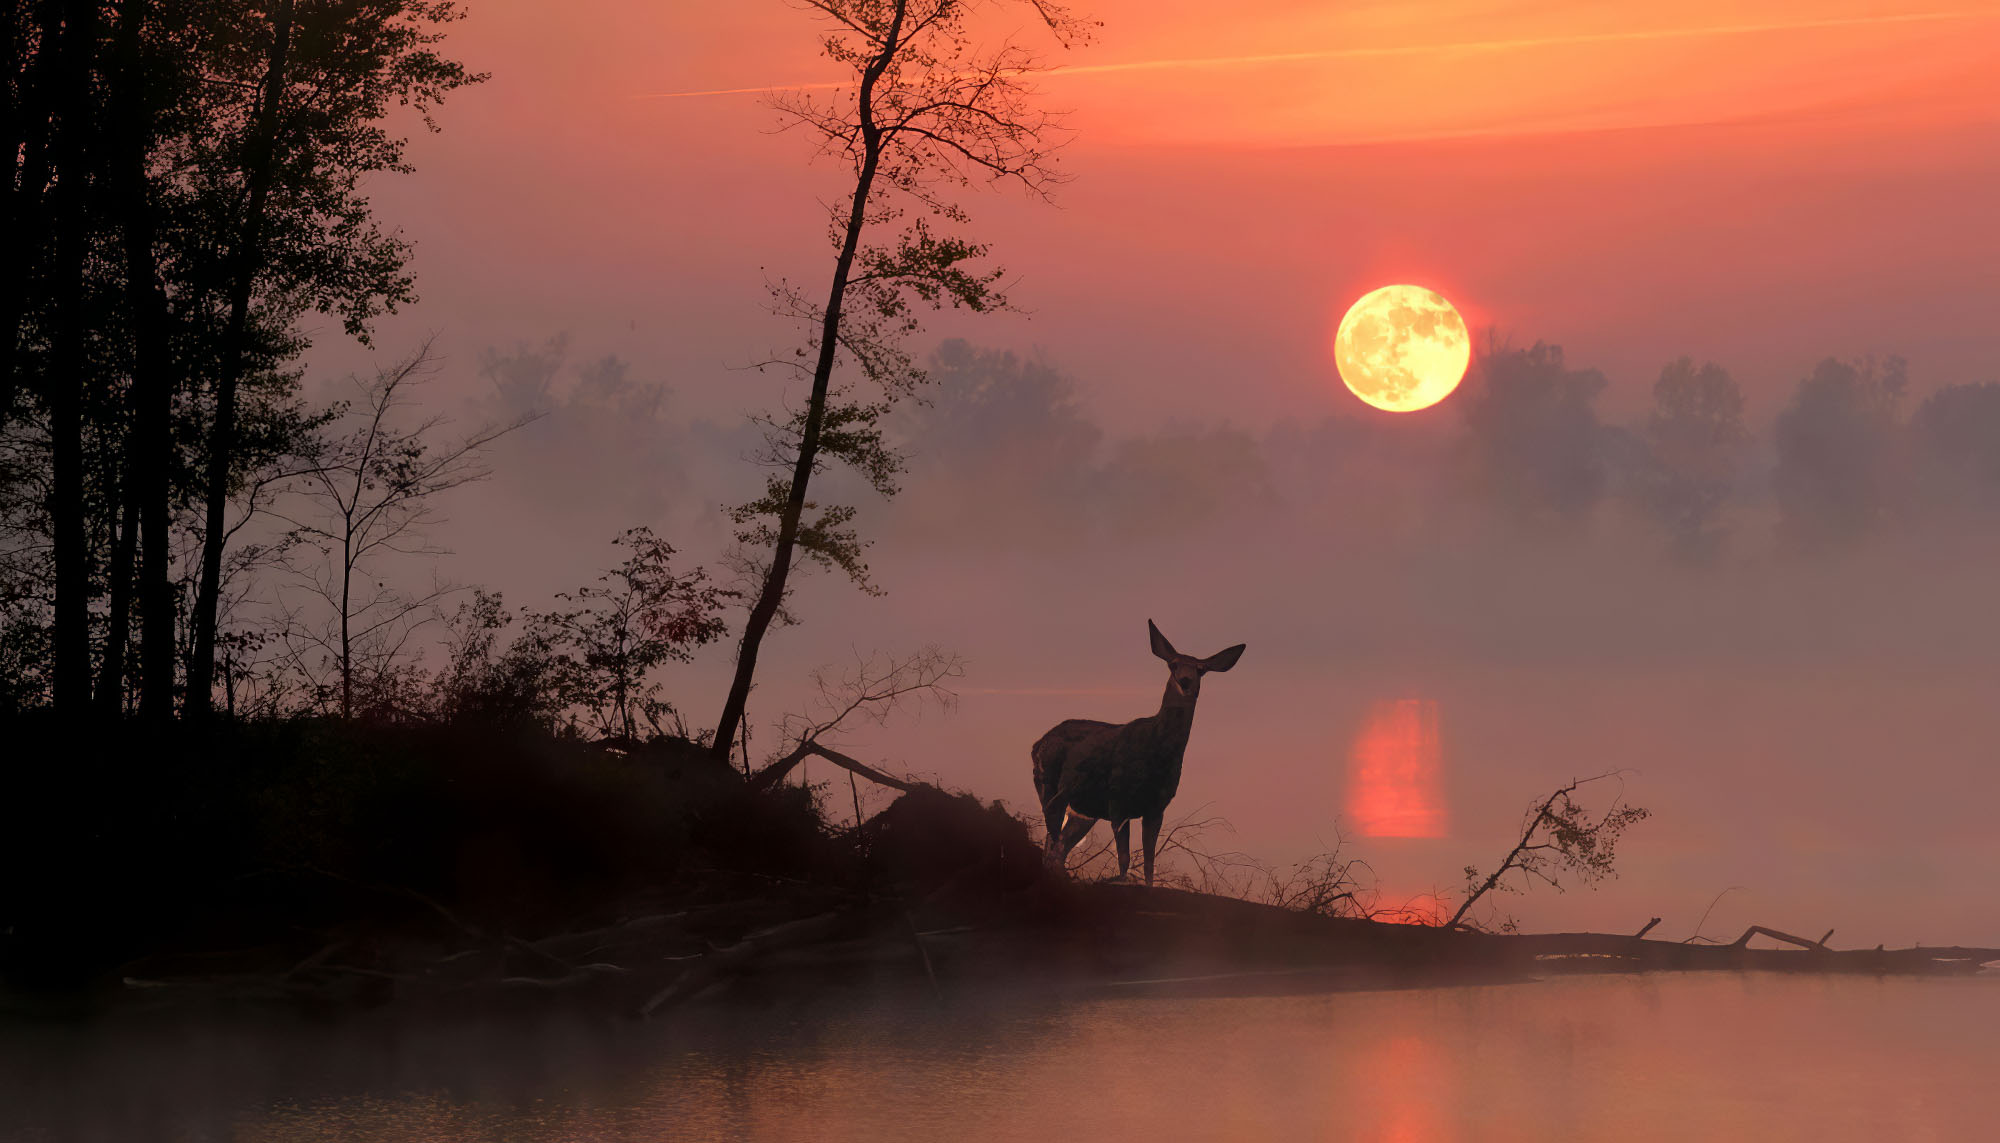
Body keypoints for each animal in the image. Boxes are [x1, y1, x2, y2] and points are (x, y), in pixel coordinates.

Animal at [1031, 619, 1246, 886]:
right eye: (1173, 664)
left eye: (1201, 668)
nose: (1185, 681)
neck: (1157, 754)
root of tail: (1038, 743)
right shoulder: (1117, 798)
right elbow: (1124, 860)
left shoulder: (1157, 807)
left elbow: (1149, 864)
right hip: (1048, 782)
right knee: (1052, 836)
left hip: (1084, 811)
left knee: (1059, 847)